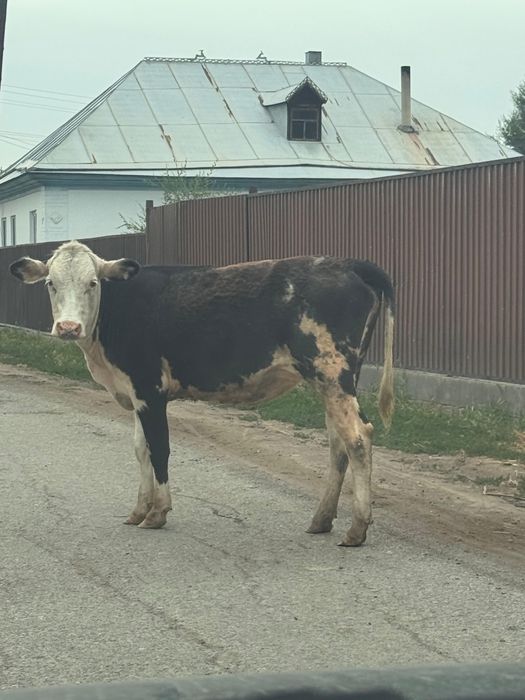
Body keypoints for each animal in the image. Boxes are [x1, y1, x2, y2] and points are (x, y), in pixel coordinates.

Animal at [10, 241, 394, 546]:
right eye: (51, 284)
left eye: (92, 283)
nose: (68, 327)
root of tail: (347, 262)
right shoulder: (136, 395)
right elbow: (140, 449)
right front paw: (138, 510)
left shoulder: (150, 390)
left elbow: (159, 449)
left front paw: (157, 512)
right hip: (332, 381)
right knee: (337, 444)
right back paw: (321, 520)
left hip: (332, 373)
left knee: (357, 438)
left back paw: (357, 529)